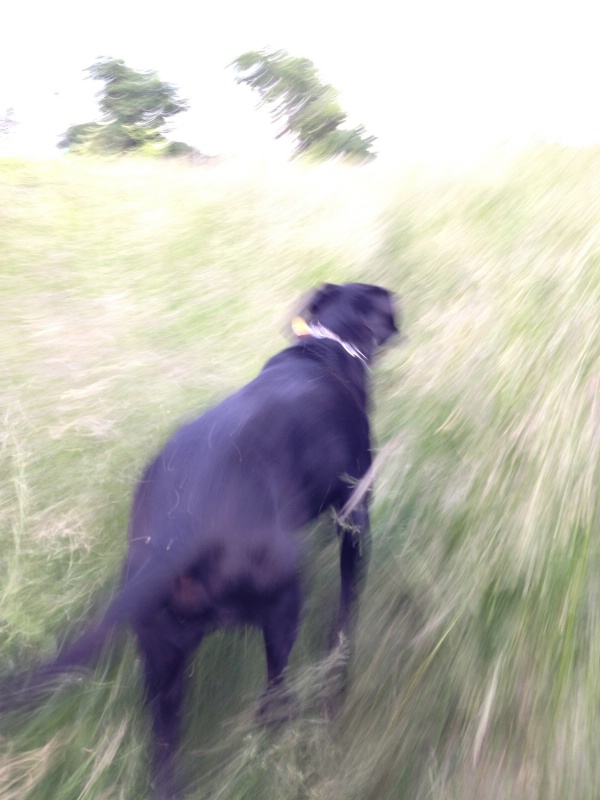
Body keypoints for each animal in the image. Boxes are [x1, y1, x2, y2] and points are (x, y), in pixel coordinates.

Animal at [5, 282, 398, 792]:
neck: (325, 346)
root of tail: (176, 539)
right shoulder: (356, 513)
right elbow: (349, 601)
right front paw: (342, 657)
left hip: (162, 657)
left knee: (163, 752)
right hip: (282, 603)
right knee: (272, 696)